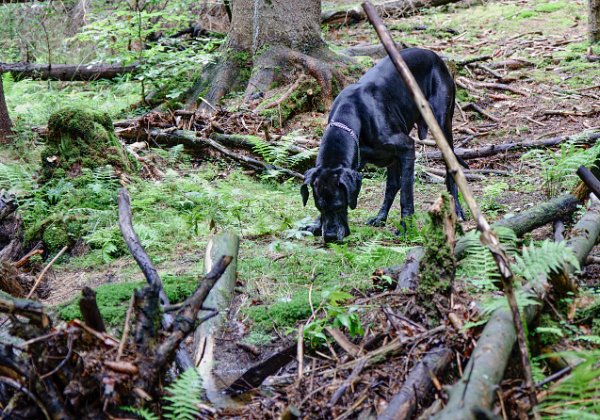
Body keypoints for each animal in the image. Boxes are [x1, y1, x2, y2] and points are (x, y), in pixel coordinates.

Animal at [302, 48, 466, 243]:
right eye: (319, 206)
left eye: (339, 205)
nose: (330, 236)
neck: (352, 115)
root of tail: (435, 56)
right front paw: (317, 225)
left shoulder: (407, 147)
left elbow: (406, 195)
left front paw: (406, 227)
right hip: (393, 155)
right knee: (392, 185)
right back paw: (380, 217)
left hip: (441, 126)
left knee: (451, 171)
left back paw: (457, 210)